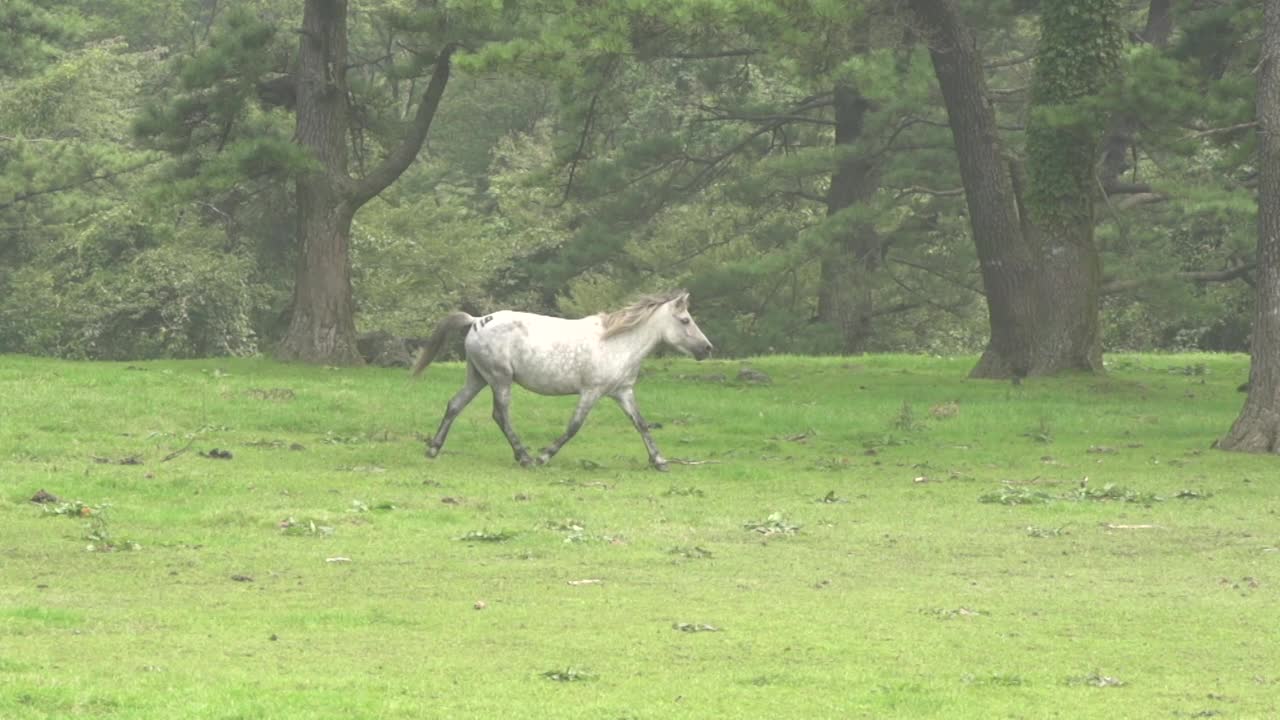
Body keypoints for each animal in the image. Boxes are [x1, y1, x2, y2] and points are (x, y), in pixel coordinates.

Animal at [412, 288, 716, 468]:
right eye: (685, 320)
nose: (707, 348)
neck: (618, 342)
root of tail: (476, 321)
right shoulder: (591, 392)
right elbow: (573, 427)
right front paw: (544, 455)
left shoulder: (623, 392)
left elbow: (641, 424)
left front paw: (659, 460)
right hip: (500, 379)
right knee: (500, 415)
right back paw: (525, 457)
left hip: (478, 378)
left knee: (454, 405)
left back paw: (433, 449)